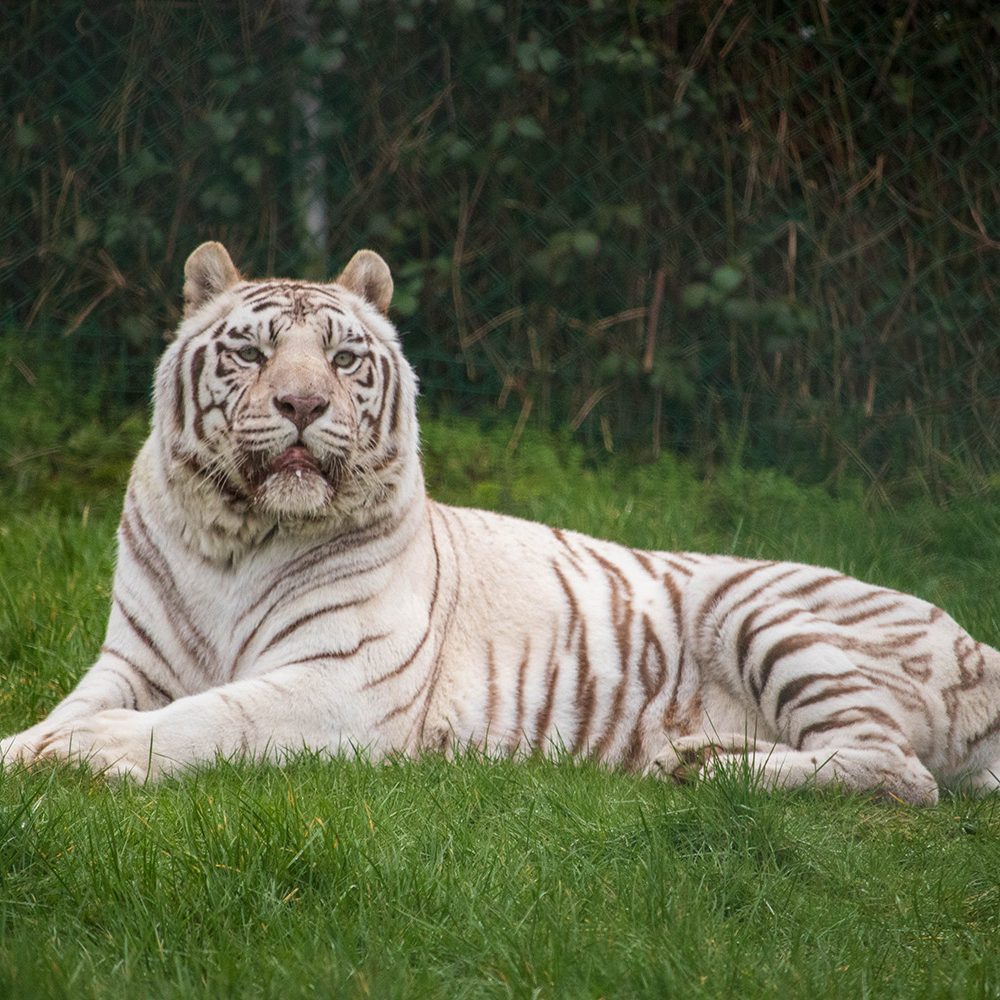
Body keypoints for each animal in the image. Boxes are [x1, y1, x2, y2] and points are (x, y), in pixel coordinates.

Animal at [1, 242, 1000, 804]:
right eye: (251, 351)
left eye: (344, 359)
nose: (299, 404)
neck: (237, 539)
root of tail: (977, 643)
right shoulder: (133, 663)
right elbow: (70, 708)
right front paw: (29, 747)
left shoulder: (339, 683)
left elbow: (209, 719)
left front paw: (84, 755)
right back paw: (692, 753)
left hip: (763, 612)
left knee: (897, 771)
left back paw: (706, 773)